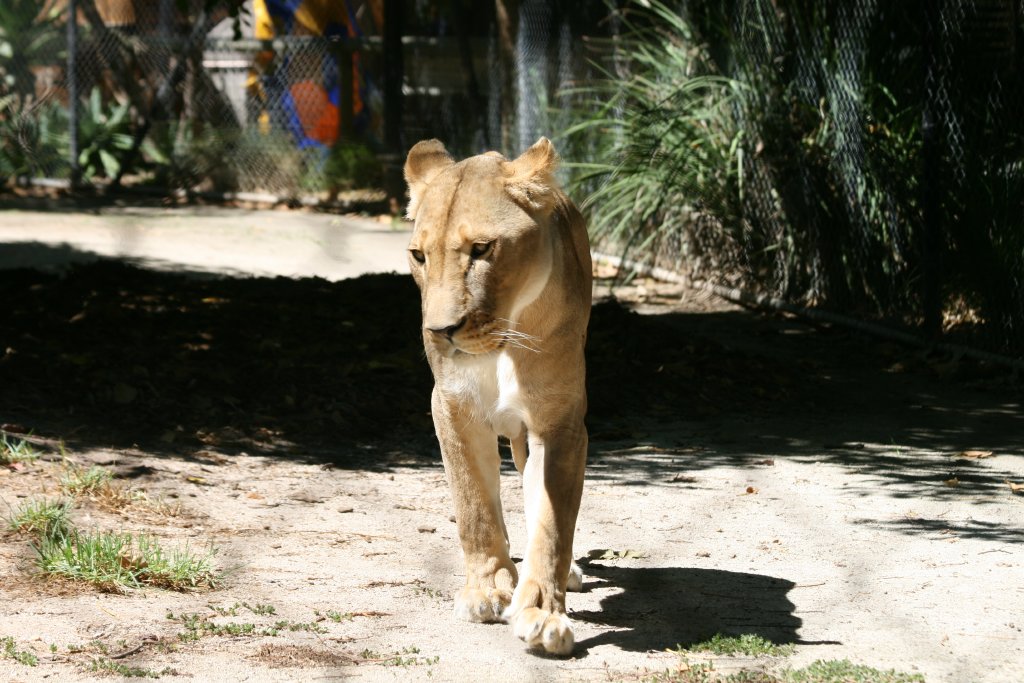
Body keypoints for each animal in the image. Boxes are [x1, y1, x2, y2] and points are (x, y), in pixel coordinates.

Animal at [404, 137, 592, 655]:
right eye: (419, 256)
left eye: (482, 249)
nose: (439, 331)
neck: (502, 345)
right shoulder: (452, 407)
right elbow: (474, 507)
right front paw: (488, 588)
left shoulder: (560, 423)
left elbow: (552, 525)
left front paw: (543, 613)